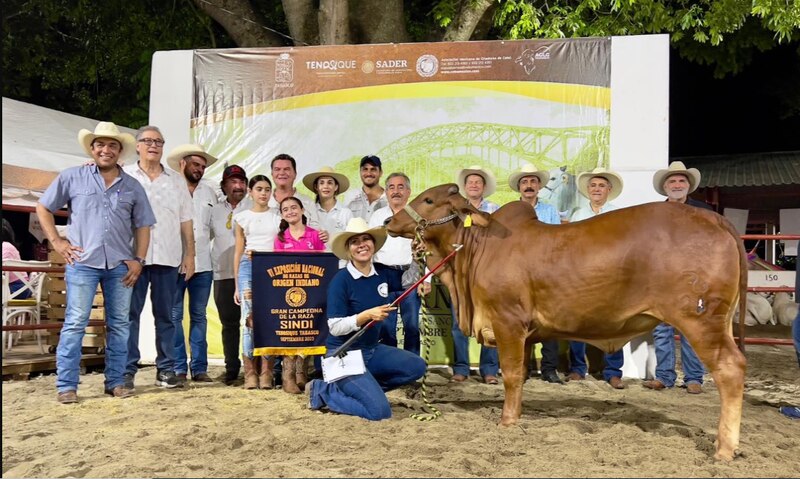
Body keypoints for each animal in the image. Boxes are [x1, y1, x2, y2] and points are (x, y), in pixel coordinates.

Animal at [388, 184, 752, 462]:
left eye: (429, 200)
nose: (390, 219)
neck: (473, 254)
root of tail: (714, 218)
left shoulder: (509, 323)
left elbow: (512, 376)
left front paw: (507, 422)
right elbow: (521, 376)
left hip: (701, 321)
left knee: (730, 370)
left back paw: (724, 449)